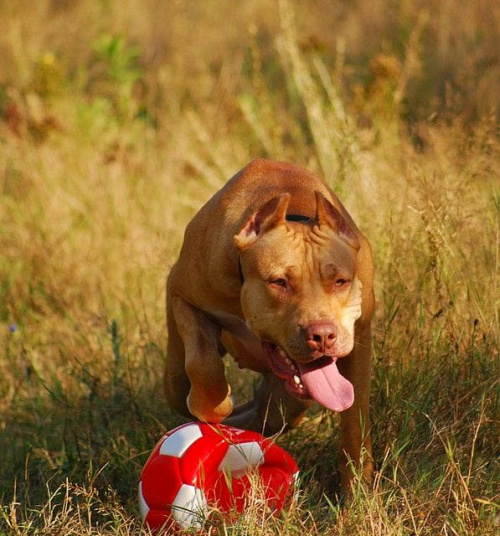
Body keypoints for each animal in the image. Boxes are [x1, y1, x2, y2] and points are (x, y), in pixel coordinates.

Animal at [165, 159, 376, 490]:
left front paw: (357, 489)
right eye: (279, 282)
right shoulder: (182, 296)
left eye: (340, 281)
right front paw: (209, 405)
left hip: (287, 403)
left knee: (265, 416)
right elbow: (203, 363)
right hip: (175, 372)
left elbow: (355, 422)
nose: (323, 335)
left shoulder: (358, 343)